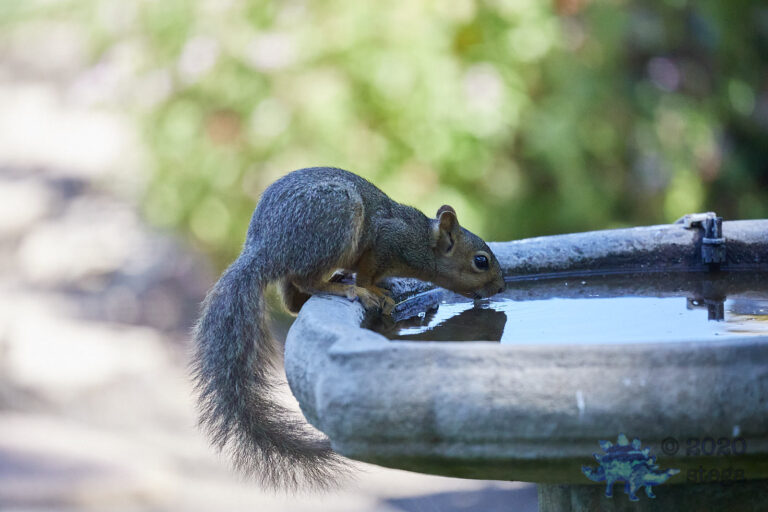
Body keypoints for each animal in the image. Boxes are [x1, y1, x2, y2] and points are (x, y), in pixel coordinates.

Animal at [192, 166, 505, 490]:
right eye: (481, 261)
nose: (500, 287)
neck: (421, 240)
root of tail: (265, 248)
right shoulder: (385, 242)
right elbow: (368, 273)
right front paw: (374, 290)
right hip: (336, 220)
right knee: (306, 281)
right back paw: (347, 288)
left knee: (293, 299)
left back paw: (338, 280)